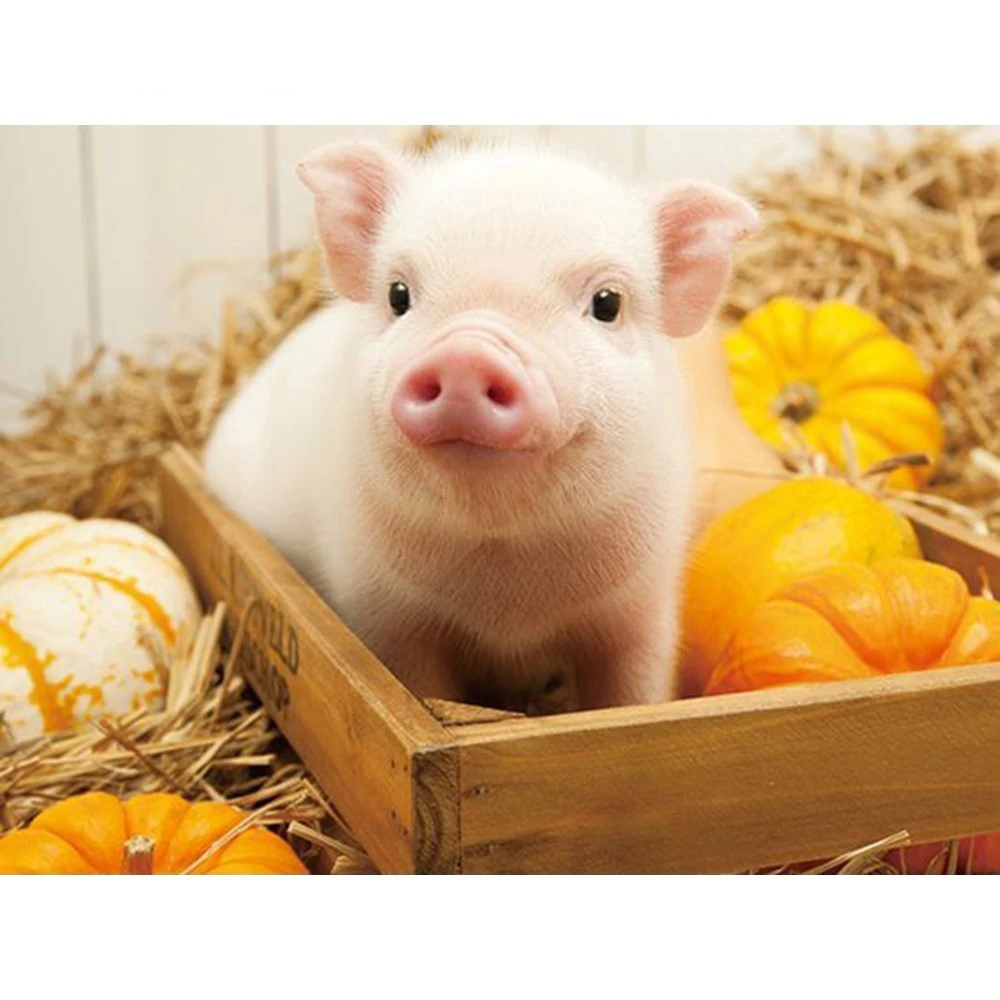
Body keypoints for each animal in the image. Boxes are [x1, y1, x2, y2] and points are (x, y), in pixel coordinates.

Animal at [203, 138, 764, 711]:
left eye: (607, 303)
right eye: (398, 295)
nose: (466, 354)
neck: (505, 591)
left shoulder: (641, 605)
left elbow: (632, 693)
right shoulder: (386, 614)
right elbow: (421, 687)